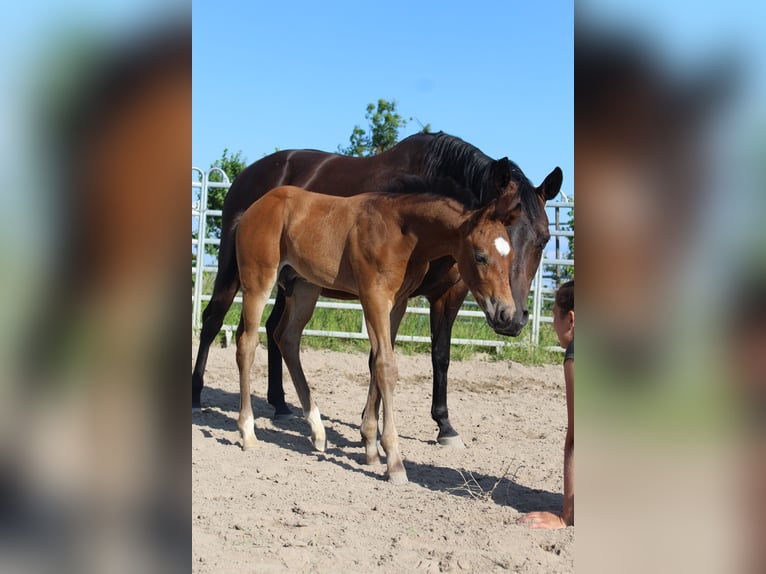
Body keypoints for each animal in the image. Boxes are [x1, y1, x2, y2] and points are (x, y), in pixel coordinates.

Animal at [192, 133, 564, 448]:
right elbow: (379, 357)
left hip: (293, 284)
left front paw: (443, 426)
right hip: (237, 271)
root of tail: (248, 175)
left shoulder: (445, 295)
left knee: (276, 331)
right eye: (482, 254)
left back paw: (282, 404)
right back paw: (199, 397)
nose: (512, 318)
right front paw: (372, 431)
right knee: (215, 321)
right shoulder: (384, 295)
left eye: (544, 239)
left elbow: (438, 355)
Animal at [234, 182, 520, 484]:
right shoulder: (374, 297)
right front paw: (394, 461)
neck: (404, 233)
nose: (506, 313)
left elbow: (376, 363)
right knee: (247, 344)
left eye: (511, 255)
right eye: (480, 256)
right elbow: (385, 367)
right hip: (258, 282)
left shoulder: (398, 303)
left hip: (304, 287)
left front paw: (371, 448)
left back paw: (317, 430)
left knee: (286, 338)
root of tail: (255, 208)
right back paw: (248, 433)